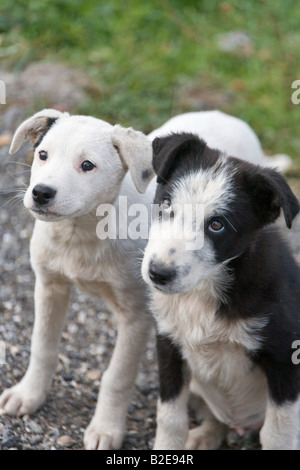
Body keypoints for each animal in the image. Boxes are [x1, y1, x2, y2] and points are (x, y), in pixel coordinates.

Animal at [142, 133, 300, 452]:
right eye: (166, 203)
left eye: (217, 225)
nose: (158, 274)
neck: (202, 290)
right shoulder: (168, 344)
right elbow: (170, 417)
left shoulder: (284, 359)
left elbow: (278, 434)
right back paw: (203, 436)